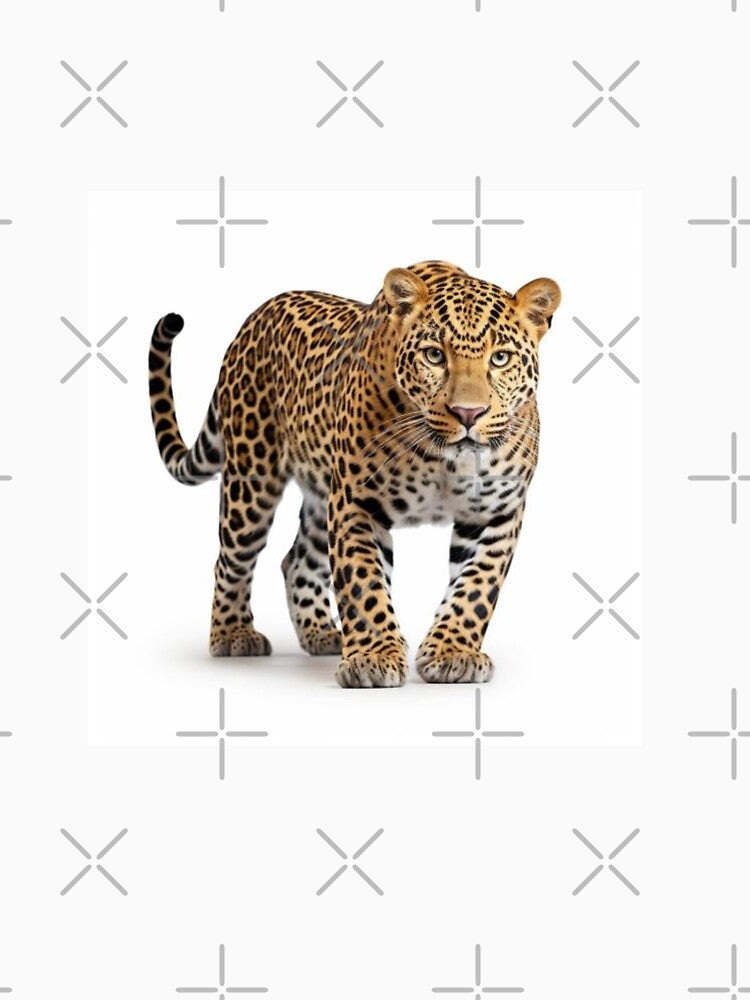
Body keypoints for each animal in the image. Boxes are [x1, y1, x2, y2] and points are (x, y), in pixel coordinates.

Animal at [148, 260, 561, 687]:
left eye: (500, 359)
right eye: (434, 355)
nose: (468, 413)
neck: (443, 460)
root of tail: (254, 319)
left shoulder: (495, 513)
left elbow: (476, 587)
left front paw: (452, 652)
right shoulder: (357, 504)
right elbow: (363, 583)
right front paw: (373, 658)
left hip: (320, 495)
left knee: (296, 560)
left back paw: (321, 633)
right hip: (251, 479)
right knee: (233, 559)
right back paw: (233, 633)